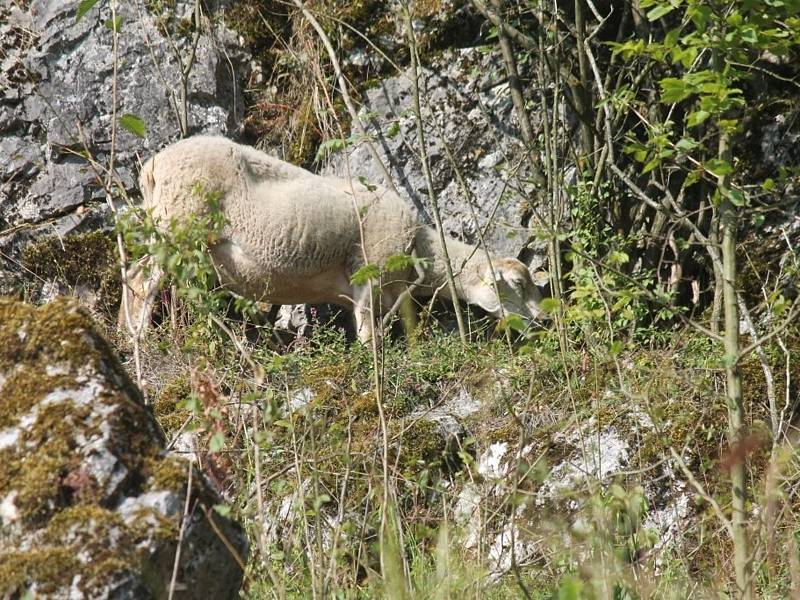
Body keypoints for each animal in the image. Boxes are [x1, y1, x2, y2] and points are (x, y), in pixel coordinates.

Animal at [120, 137, 552, 342]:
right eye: (518, 284)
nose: (546, 320)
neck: (421, 248)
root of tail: (152, 167)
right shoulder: (370, 273)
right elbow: (368, 336)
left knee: (135, 277)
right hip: (177, 222)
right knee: (141, 280)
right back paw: (138, 339)